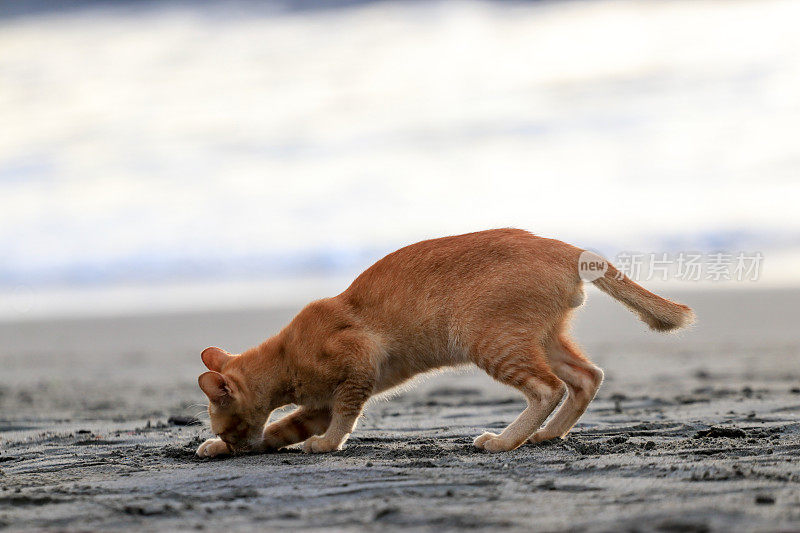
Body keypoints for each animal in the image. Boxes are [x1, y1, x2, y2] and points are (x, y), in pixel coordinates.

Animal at [195, 227, 692, 456]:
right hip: (541, 339)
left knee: (547, 388)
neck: (285, 357)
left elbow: (341, 417)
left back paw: (504, 441)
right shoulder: (319, 403)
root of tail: (565, 247)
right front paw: (223, 449)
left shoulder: (358, 368)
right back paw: (548, 434)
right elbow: (283, 427)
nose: (236, 447)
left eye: (230, 426)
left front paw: (328, 443)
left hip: (489, 341)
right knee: (587, 377)